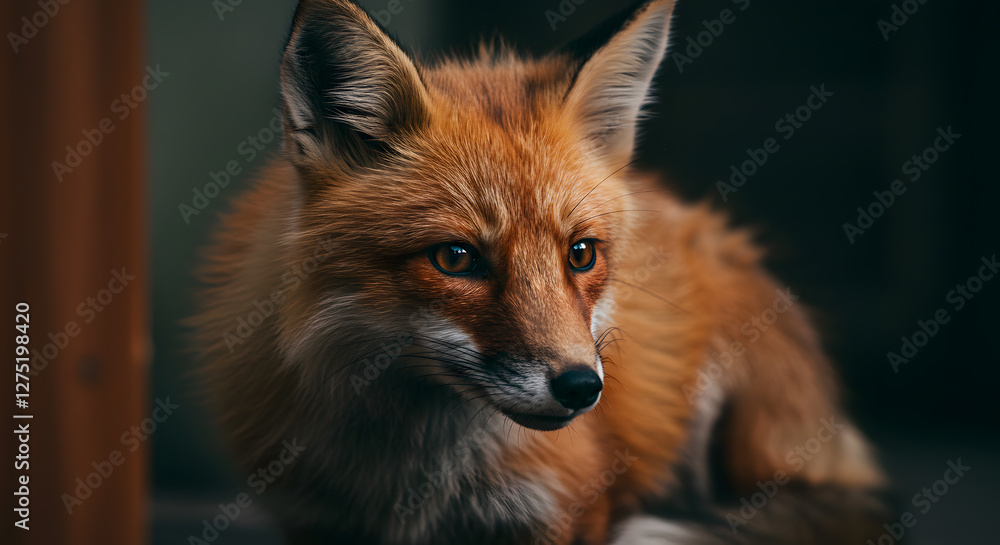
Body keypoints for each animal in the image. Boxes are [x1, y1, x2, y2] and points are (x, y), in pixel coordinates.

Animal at [192, 0, 895, 543]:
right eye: (456, 258)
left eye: (581, 253)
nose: (583, 388)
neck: (414, 480)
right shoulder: (313, 518)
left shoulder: (562, 510)